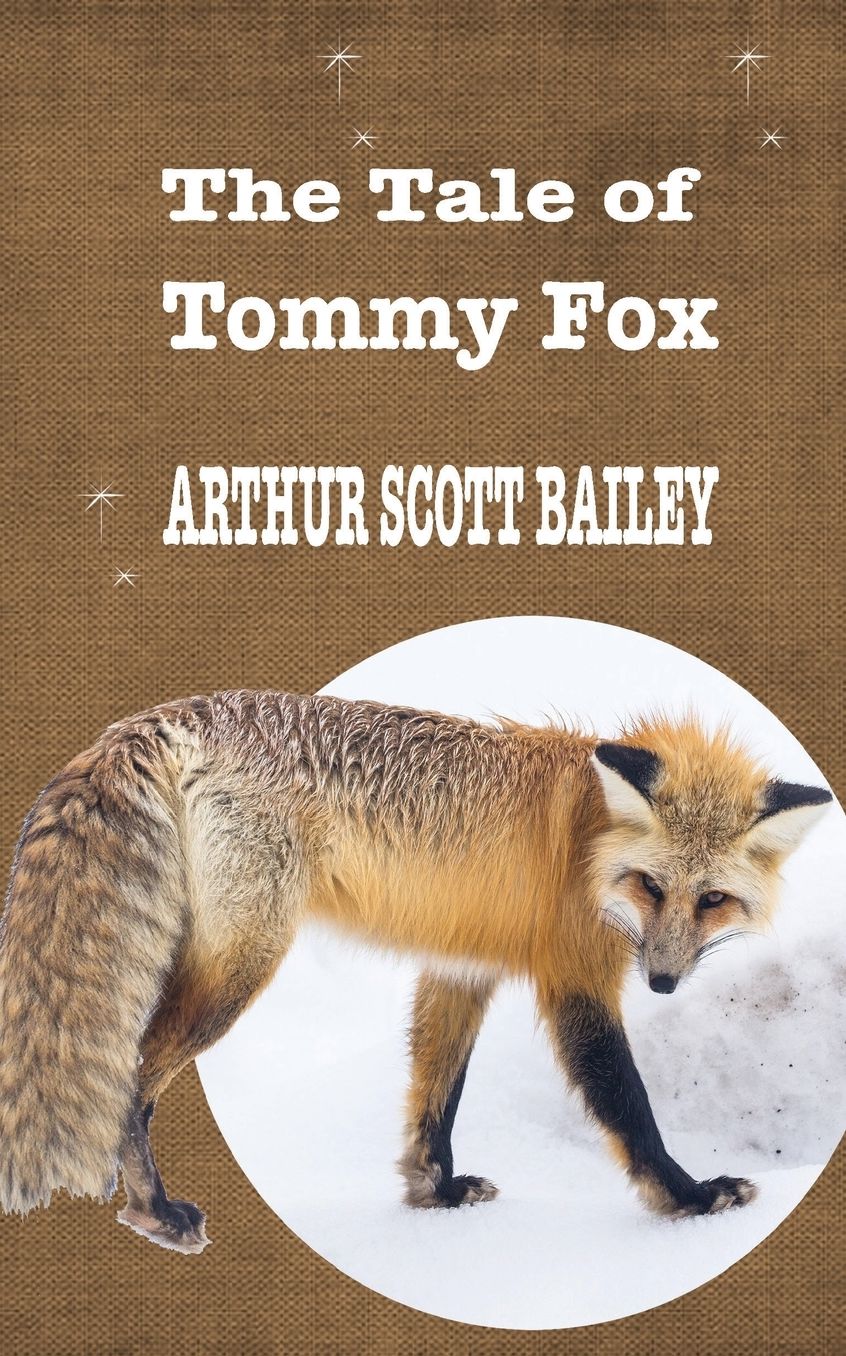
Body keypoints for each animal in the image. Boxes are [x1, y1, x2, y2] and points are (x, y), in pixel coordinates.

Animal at [0, 690, 833, 1253]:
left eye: (714, 900)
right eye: (652, 887)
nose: (660, 983)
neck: (589, 839)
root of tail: (167, 715)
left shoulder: (459, 969)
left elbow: (436, 1096)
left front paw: (435, 1194)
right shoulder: (576, 980)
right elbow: (628, 1105)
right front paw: (689, 1199)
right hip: (240, 969)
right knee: (131, 1077)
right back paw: (152, 1210)